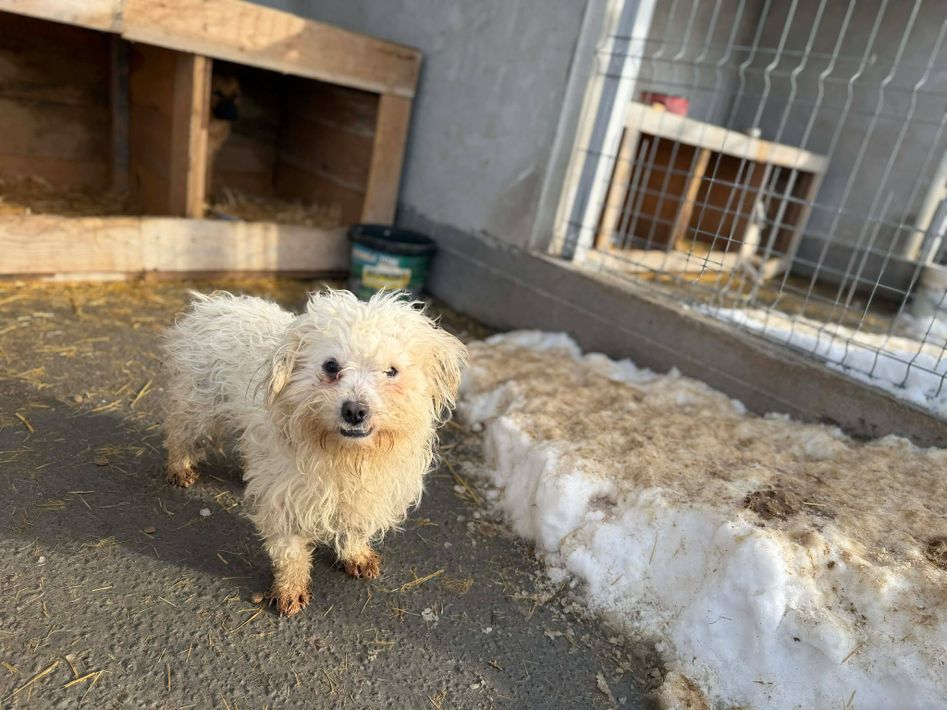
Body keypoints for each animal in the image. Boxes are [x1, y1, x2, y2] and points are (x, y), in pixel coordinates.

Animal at [161, 289, 467, 616]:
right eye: (331, 366)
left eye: (391, 371)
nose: (355, 411)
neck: (346, 457)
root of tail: (213, 304)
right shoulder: (286, 498)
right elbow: (290, 552)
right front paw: (290, 588)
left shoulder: (366, 496)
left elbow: (356, 529)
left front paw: (355, 555)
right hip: (198, 410)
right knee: (179, 434)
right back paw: (180, 468)